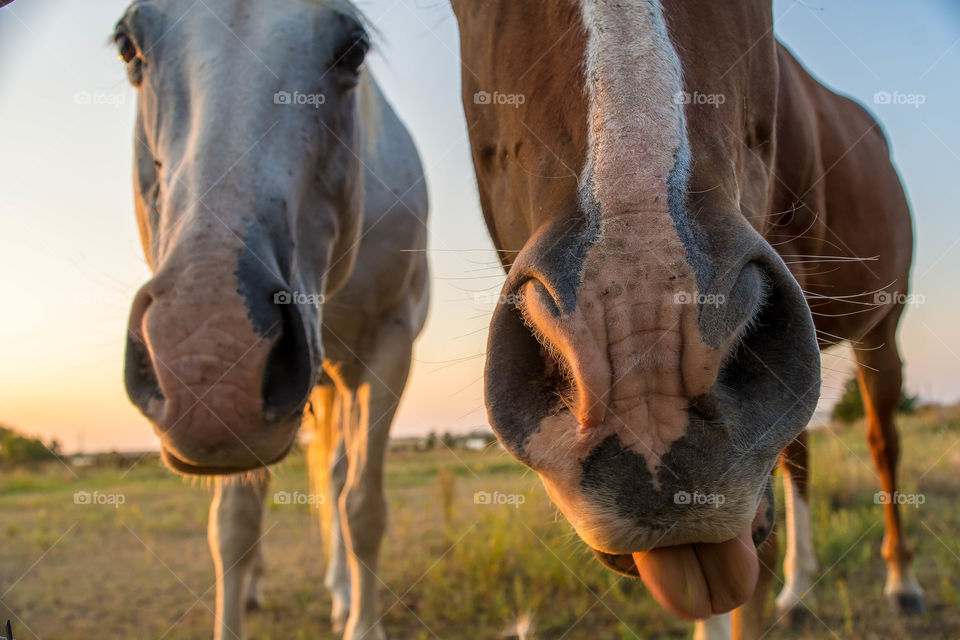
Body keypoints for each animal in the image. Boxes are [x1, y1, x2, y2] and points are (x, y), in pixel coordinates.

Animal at [113, 1, 429, 639]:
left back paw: (340, 591)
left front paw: (359, 620)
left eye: (354, 49)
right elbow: (234, 521)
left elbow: (362, 506)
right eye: (129, 46)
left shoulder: (390, 347)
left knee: (335, 476)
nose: (206, 352)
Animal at [450, 1, 917, 637]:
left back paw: (902, 583)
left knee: (882, 442)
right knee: (799, 458)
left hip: (880, 333)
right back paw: (799, 589)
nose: (644, 385)